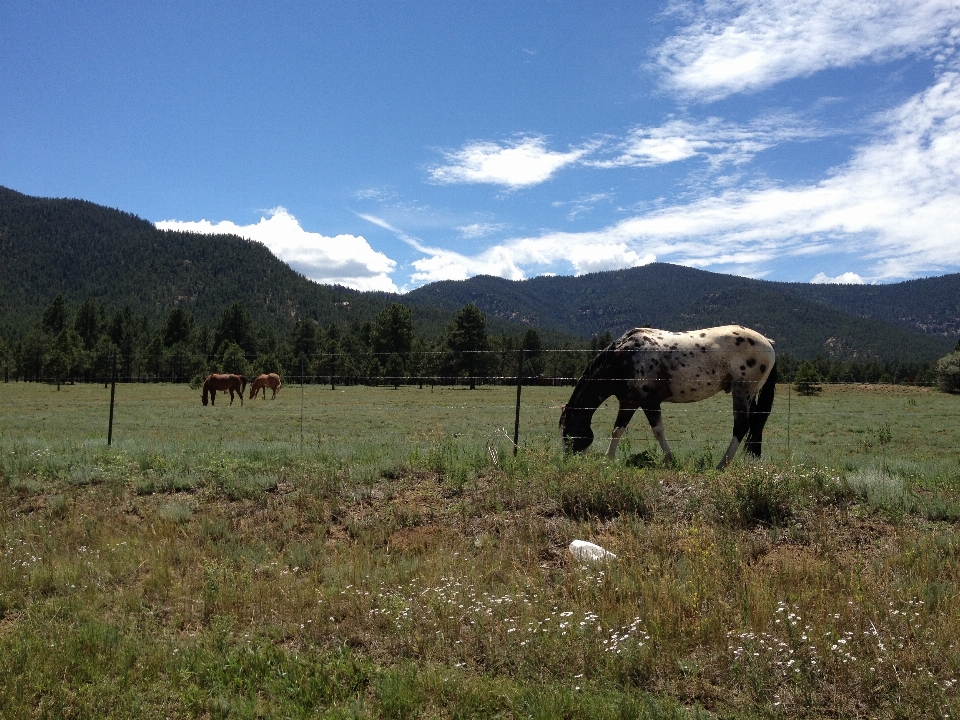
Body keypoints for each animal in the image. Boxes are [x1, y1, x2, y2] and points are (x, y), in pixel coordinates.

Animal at [560, 324, 776, 470]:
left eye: (567, 432)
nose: (568, 459)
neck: (623, 358)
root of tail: (768, 343)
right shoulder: (629, 402)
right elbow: (617, 430)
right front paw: (608, 459)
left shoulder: (649, 401)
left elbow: (658, 431)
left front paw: (669, 459)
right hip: (749, 396)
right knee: (755, 426)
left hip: (742, 392)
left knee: (741, 426)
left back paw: (721, 465)